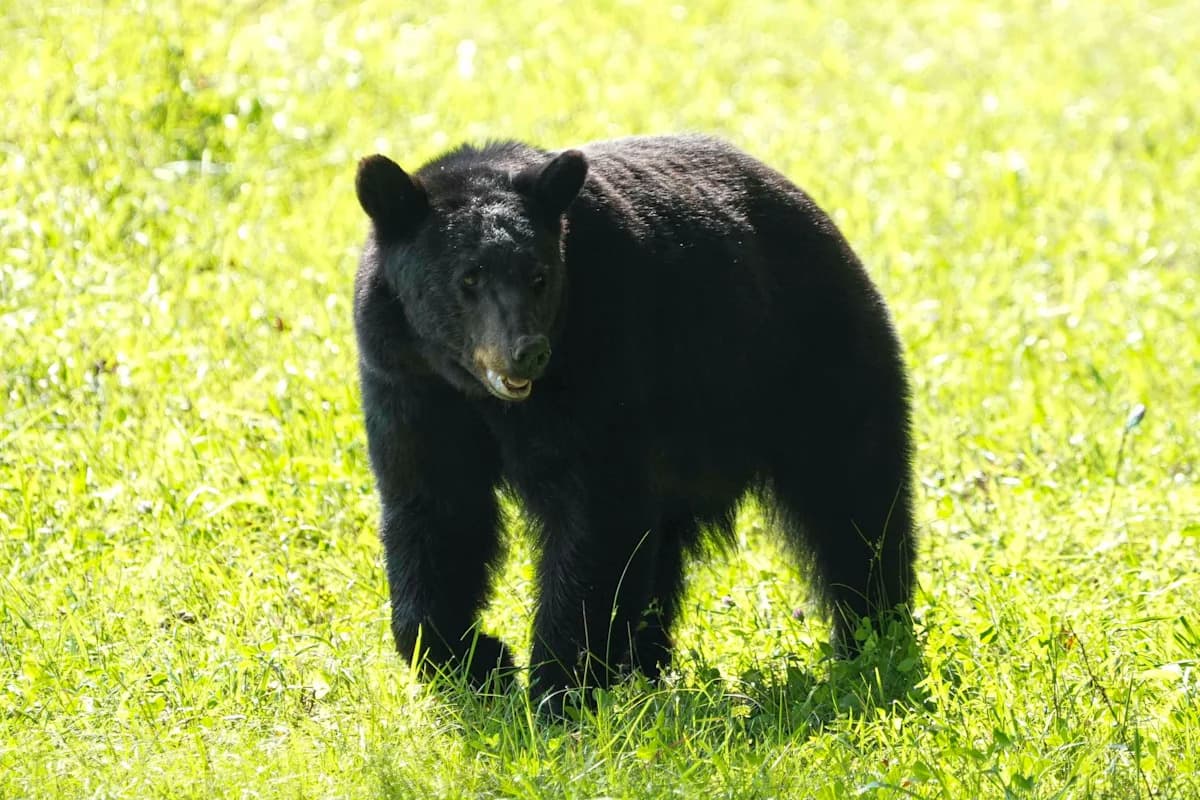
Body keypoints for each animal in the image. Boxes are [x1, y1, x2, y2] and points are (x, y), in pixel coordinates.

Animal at [352, 134, 915, 714]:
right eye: (469, 277)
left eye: (539, 277)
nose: (527, 352)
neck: (469, 387)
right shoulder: (407, 381)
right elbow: (435, 509)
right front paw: (478, 663)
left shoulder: (601, 356)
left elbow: (594, 512)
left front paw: (557, 687)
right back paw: (643, 662)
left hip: (812, 364)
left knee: (854, 501)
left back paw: (872, 635)